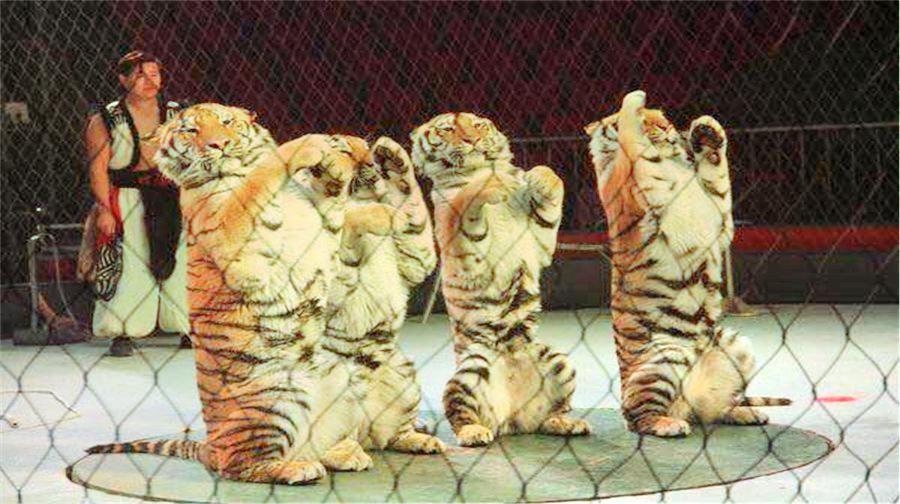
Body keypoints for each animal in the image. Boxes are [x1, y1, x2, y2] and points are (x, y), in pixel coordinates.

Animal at [86, 103, 374, 483]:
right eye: (191, 131)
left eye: (226, 122)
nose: (219, 144)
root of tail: (211, 446)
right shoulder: (232, 232)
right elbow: (259, 177)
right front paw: (310, 145)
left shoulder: (320, 227)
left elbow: (330, 192)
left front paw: (338, 157)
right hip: (273, 397)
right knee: (239, 465)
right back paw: (294, 468)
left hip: (343, 375)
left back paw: (344, 453)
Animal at [321, 136, 444, 455]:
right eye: (345, 150)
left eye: (366, 148)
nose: (370, 161)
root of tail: (362, 433)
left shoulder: (415, 258)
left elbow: (413, 211)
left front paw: (393, 158)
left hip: (403, 372)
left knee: (394, 436)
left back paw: (421, 440)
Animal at [411, 112, 591, 447]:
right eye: (449, 129)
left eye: (477, 125)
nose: (471, 140)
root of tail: (512, 419)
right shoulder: (462, 248)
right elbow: (466, 201)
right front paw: (490, 183)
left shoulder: (540, 243)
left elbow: (552, 184)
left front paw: (539, 177)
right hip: (471, 367)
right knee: (460, 413)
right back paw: (474, 432)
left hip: (558, 360)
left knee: (548, 415)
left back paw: (564, 422)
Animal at [584, 90, 790, 438]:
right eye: (650, 120)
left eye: (663, 117)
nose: (666, 128)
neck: (669, 161)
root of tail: (684, 403)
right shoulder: (629, 181)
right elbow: (631, 139)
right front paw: (634, 101)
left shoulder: (717, 212)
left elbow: (717, 175)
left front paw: (707, 130)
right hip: (664, 358)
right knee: (637, 416)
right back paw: (666, 424)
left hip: (736, 345)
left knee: (712, 410)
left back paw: (743, 413)